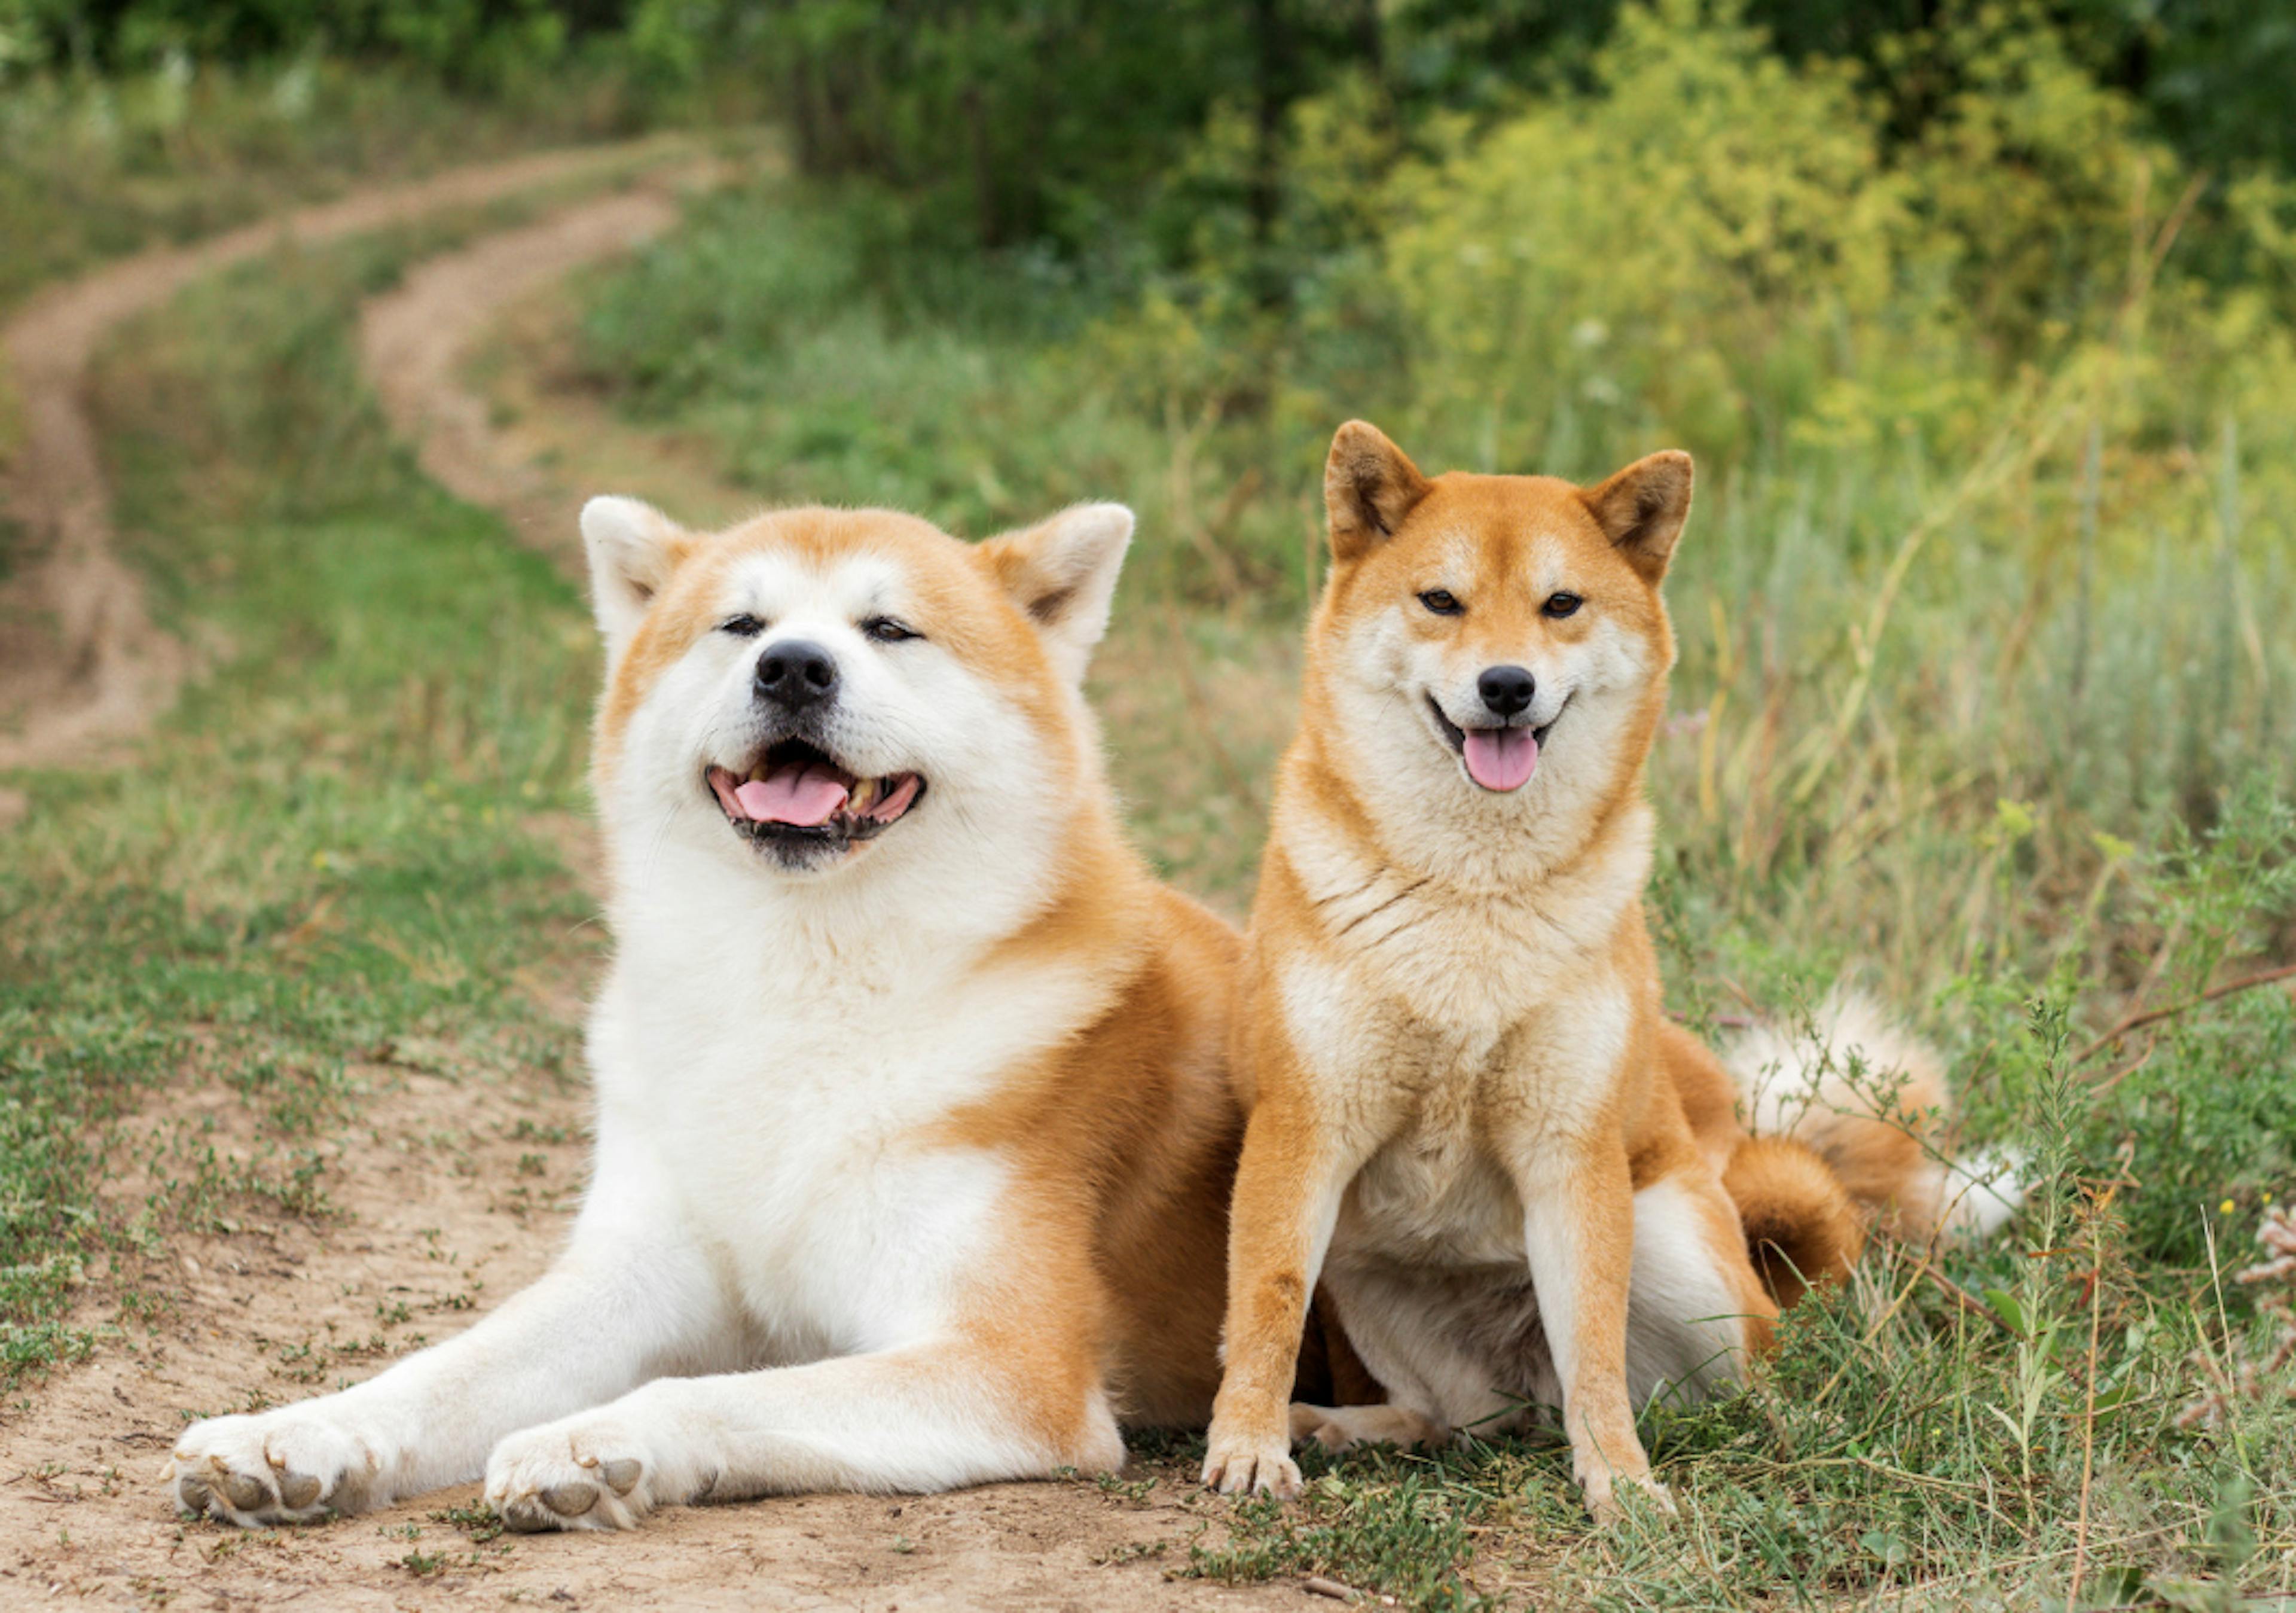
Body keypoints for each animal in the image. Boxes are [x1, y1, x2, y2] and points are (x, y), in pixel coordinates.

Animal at [166, 498, 1258, 1535]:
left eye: (890, 628)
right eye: (742, 625)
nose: (795, 668)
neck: (800, 984)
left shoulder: (1013, 1365)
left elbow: (716, 1391)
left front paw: (594, 1439)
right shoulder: (638, 1270)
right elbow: (444, 1368)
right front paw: (301, 1430)